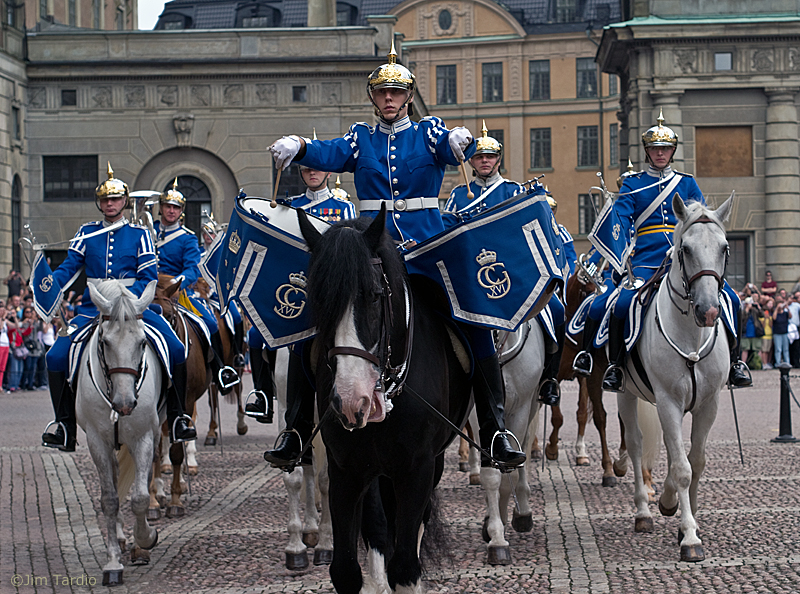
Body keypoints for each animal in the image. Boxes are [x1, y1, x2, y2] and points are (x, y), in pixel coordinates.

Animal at [77, 280, 164, 584]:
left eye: (143, 342)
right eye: (104, 342)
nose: (124, 404)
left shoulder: (143, 437)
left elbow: (139, 497)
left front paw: (146, 539)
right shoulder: (96, 441)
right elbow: (110, 499)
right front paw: (113, 562)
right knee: (114, 481)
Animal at [147, 272, 209, 520]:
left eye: (171, 316)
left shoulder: (185, 401)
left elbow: (175, 450)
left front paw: (175, 500)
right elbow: (154, 451)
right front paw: (153, 501)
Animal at [300, 205, 476, 592]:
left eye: (374, 295)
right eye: (318, 300)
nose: (352, 402)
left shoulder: (417, 469)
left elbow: (406, 567)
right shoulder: (346, 470)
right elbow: (346, 569)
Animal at [616, 194, 736, 560]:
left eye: (725, 247)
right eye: (685, 249)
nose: (708, 311)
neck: (691, 337)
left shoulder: (707, 404)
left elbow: (694, 461)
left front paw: (688, 520)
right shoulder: (668, 401)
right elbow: (682, 469)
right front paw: (690, 538)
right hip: (625, 393)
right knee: (636, 443)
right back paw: (643, 512)